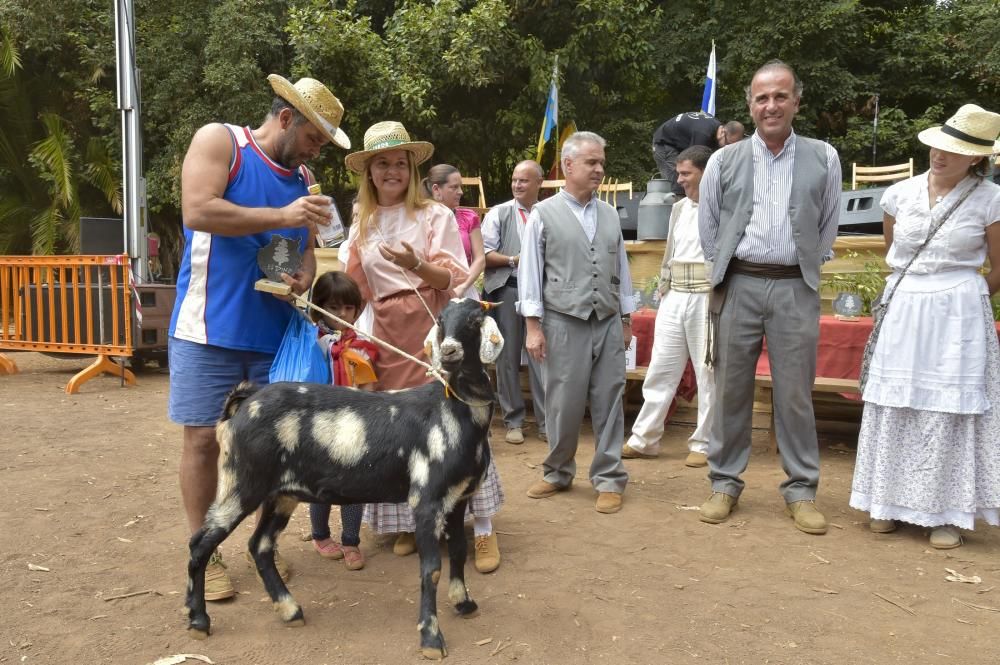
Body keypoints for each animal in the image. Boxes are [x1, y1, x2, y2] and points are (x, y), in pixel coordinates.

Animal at [185, 300, 504, 660]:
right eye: (440, 320)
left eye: (476, 319)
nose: (449, 351)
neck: (453, 409)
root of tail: (243, 404)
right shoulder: (426, 500)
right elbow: (431, 567)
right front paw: (431, 639)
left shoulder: (458, 498)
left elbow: (460, 550)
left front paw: (464, 603)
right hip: (241, 483)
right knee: (200, 543)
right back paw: (199, 621)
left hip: (281, 495)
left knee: (260, 545)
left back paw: (290, 610)